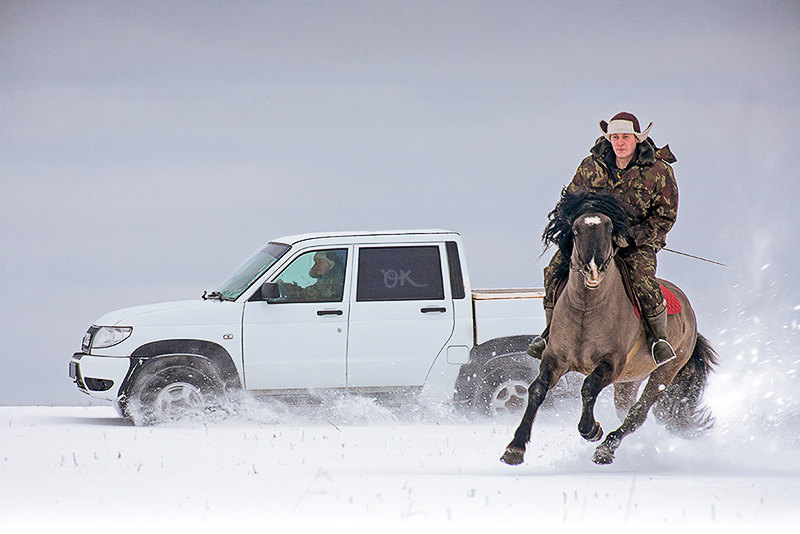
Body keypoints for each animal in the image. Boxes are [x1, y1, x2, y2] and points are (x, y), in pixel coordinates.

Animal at [500, 191, 720, 466]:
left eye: (609, 228)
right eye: (575, 230)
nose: (593, 270)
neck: (586, 309)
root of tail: (690, 314)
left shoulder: (611, 364)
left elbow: (588, 387)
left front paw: (591, 429)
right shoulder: (555, 359)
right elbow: (537, 390)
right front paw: (515, 447)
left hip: (664, 373)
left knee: (638, 413)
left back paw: (605, 449)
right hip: (630, 380)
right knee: (625, 410)